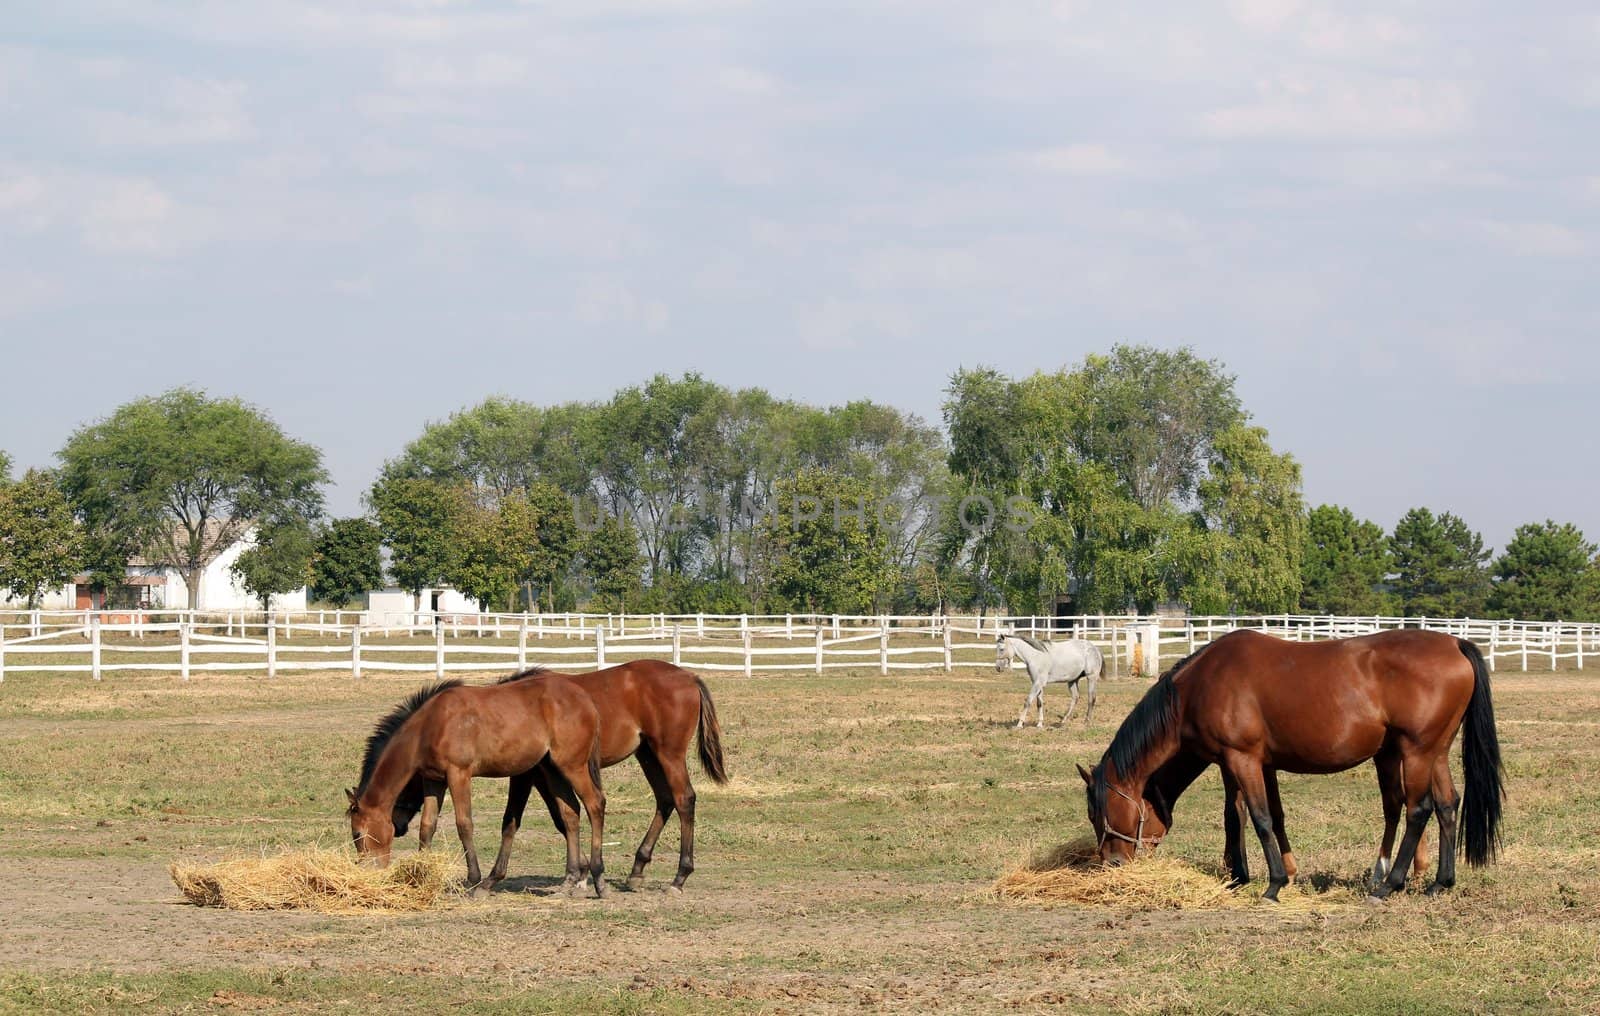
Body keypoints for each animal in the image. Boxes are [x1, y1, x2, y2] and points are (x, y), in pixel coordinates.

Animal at [347, 675, 608, 896]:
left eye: (358, 833)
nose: (366, 872)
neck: (431, 724)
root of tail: (585, 699)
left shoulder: (459, 774)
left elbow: (464, 824)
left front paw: (473, 880)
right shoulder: (433, 780)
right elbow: (427, 826)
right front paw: (419, 875)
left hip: (573, 766)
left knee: (595, 804)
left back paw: (599, 879)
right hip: (553, 769)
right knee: (570, 813)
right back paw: (569, 880)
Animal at [393, 659, 732, 889]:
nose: (396, 826)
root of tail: (689, 676)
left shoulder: (530, 774)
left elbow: (533, 819)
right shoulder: (545, 774)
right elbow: (565, 816)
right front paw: (580, 872)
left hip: (668, 754)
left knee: (684, 799)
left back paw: (679, 875)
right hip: (648, 754)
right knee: (665, 800)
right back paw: (637, 869)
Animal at [1081, 633, 1504, 902]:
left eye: (1099, 812)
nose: (1111, 863)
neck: (1196, 689)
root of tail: (1454, 643)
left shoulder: (1242, 758)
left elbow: (1260, 817)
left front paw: (1273, 884)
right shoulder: (1243, 763)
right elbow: (1246, 817)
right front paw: (1243, 877)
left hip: (1416, 752)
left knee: (1419, 810)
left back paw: (1389, 885)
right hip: (1436, 753)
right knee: (1447, 805)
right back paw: (1439, 883)